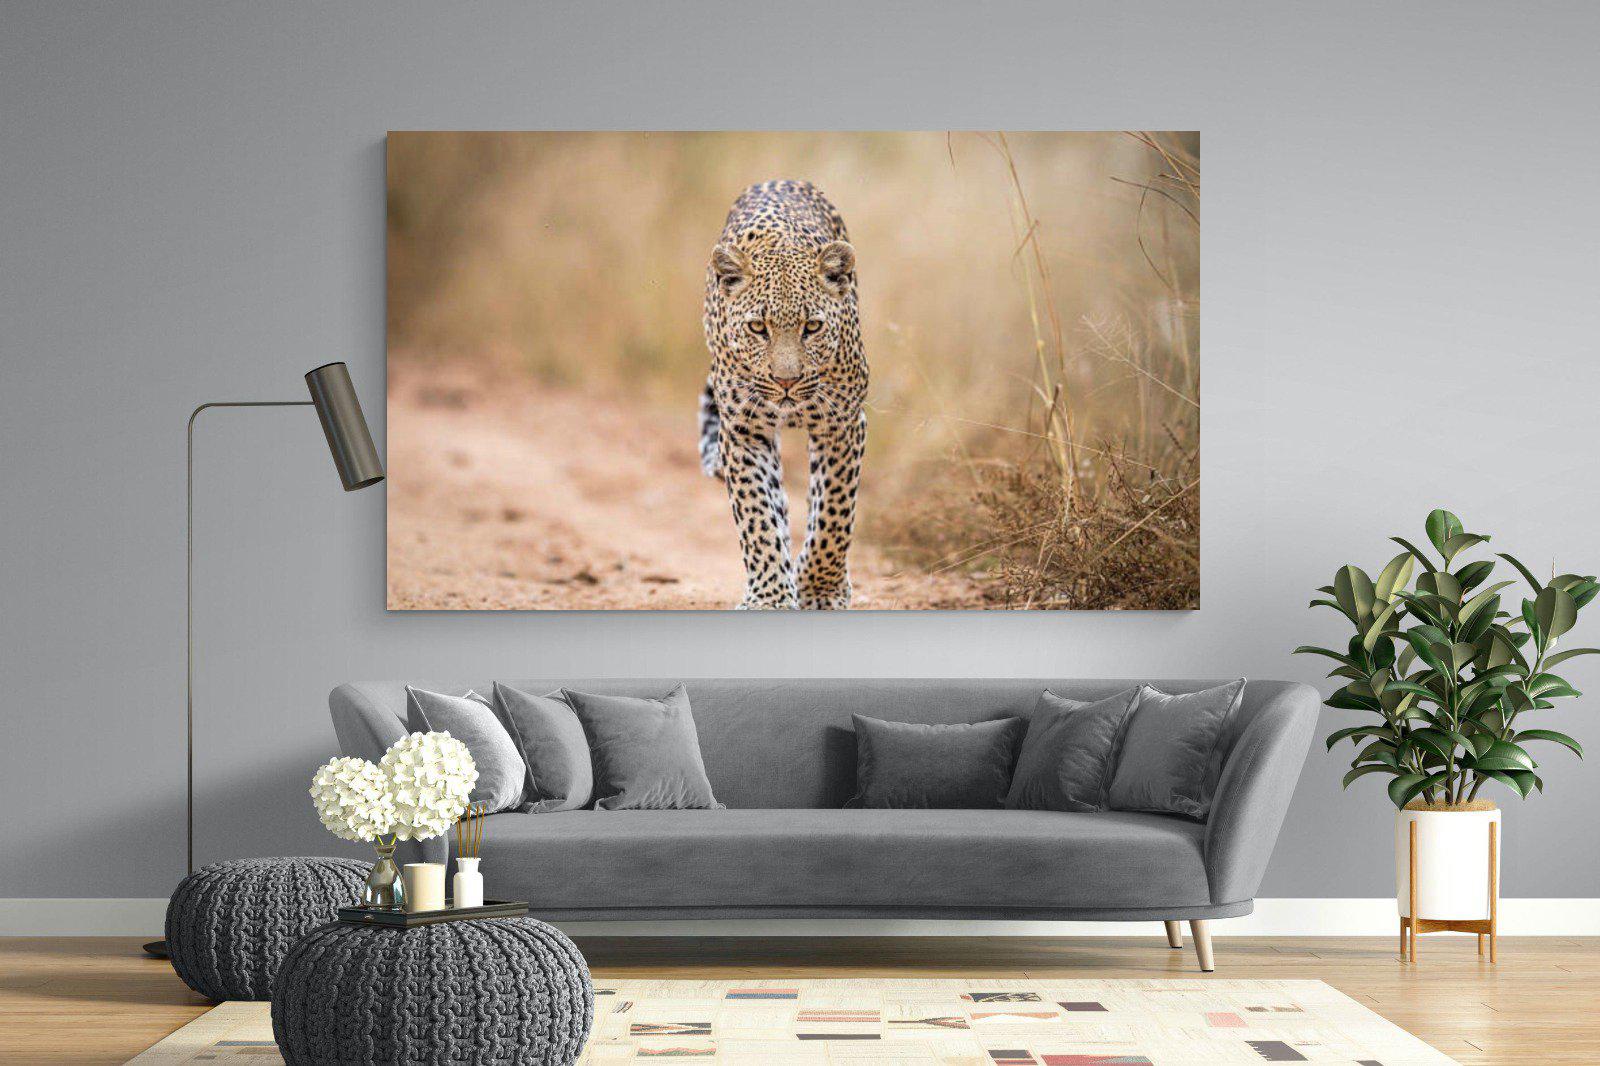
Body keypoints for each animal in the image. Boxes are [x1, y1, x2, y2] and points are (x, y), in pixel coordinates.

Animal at [698, 180, 868, 610]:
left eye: (812, 327)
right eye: (758, 327)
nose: (785, 381)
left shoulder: (842, 423)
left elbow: (834, 513)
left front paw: (820, 590)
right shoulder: (743, 430)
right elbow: (757, 515)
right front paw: (770, 597)